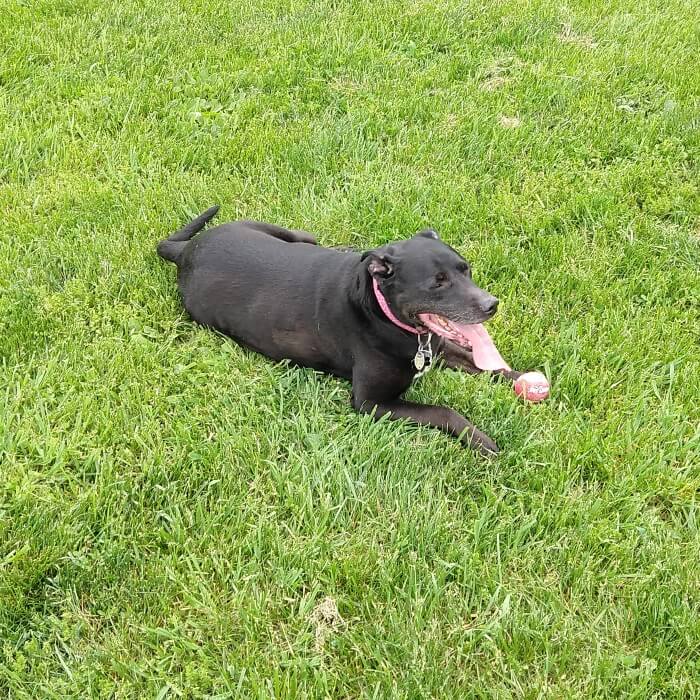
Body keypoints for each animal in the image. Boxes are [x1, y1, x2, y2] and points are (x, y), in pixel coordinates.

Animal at [159, 204, 532, 454]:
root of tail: (186, 250)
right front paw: (481, 440)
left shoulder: (438, 346)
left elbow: (492, 366)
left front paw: (525, 381)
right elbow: (443, 411)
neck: (381, 312)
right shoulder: (372, 403)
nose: (491, 304)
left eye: (465, 269)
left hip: (278, 230)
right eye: (437, 283)